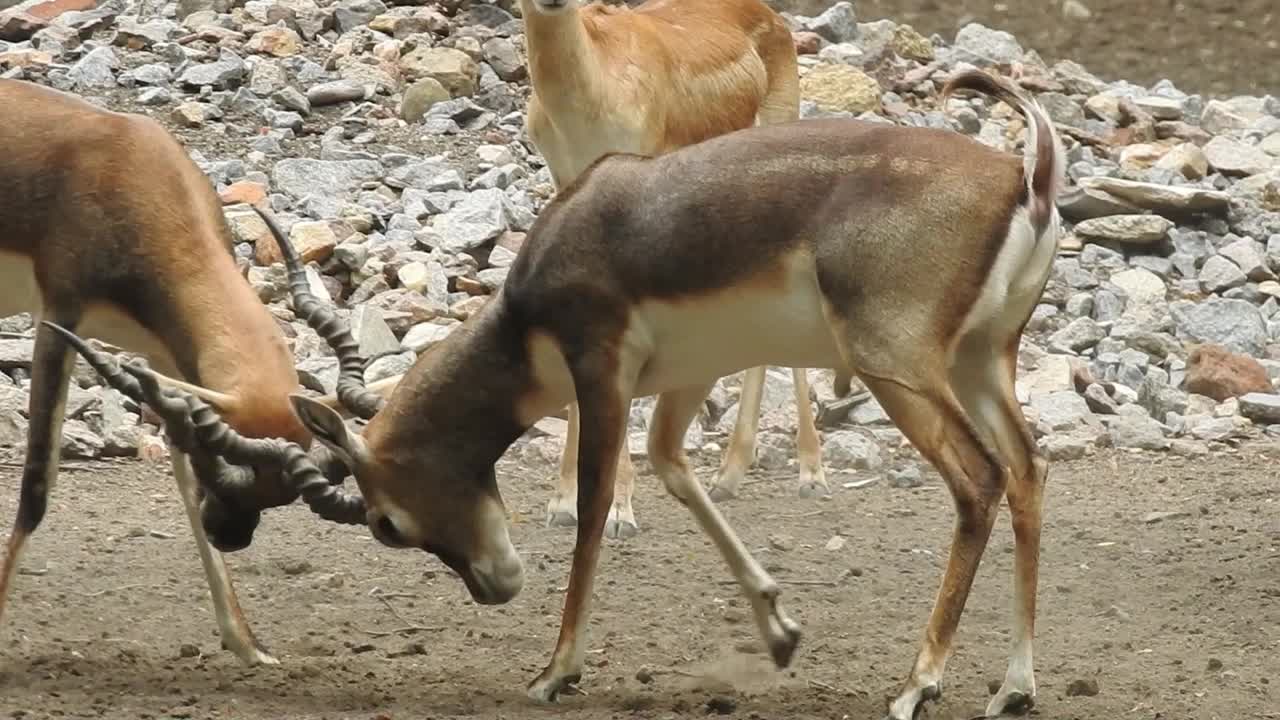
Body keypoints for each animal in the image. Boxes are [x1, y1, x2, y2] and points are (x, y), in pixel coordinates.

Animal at [0, 77, 368, 661]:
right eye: (228, 468)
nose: (231, 536)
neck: (130, 170)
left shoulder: (165, 360)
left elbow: (181, 480)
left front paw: (247, 644)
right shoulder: (58, 319)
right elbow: (37, 485)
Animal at [70, 68, 1070, 717]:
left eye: (385, 524)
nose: (494, 587)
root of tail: (1026, 177)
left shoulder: (600, 372)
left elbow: (593, 511)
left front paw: (555, 672)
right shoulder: (681, 381)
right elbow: (673, 471)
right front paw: (780, 629)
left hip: (898, 368)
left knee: (978, 482)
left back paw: (919, 684)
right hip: (983, 362)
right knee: (1028, 473)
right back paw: (1014, 686)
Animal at [519, 0, 829, 532]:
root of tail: (770, 15)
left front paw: (619, 510)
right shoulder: (568, 184)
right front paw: (563, 502)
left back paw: (811, 473)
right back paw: (729, 475)